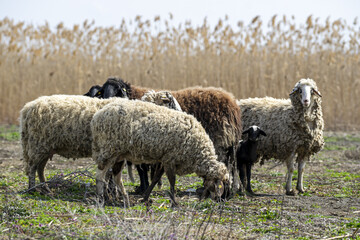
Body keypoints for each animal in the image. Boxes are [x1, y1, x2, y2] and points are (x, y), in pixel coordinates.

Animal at [91, 98, 229, 207]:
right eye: (219, 185)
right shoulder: (170, 158)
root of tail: (97, 116)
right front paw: (174, 202)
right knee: (100, 174)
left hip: (119, 154)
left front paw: (145, 197)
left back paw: (123, 198)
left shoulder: (164, 159)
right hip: (109, 149)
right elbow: (172, 181)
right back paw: (101, 198)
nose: (218, 199)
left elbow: (156, 178)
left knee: (115, 176)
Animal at [97, 79, 242, 195]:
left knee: (221, 164)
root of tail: (232, 104)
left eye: (119, 91)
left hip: (220, 141)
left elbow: (142, 169)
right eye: (102, 92)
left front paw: (143, 188)